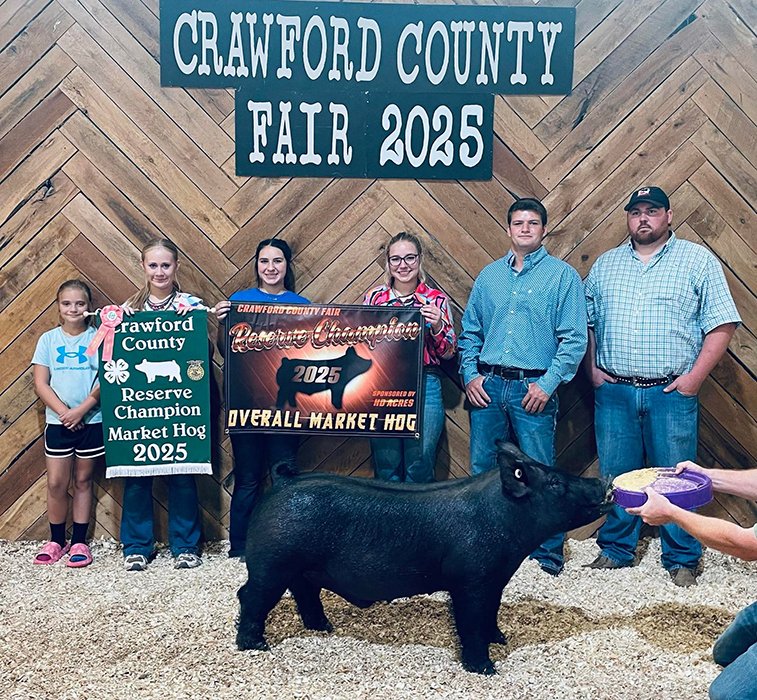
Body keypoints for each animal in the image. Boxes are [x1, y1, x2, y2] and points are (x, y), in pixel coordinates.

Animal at [236, 442, 612, 674]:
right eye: (554, 482)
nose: (602, 482)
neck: (505, 520)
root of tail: (282, 485)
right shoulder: (469, 580)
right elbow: (471, 621)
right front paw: (486, 669)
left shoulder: (494, 579)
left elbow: (491, 613)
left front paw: (501, 639)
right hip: (272, 564)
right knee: (249, 596)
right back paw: (255, 646)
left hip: (298, 568)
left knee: (305, 593)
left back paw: (323, 627)